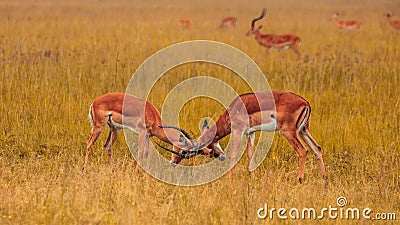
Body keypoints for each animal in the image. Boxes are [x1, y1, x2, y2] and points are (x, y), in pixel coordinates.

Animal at [164, 91, 326, 183]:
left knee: (303, 151)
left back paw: (299, 180)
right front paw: (253, 178)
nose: (173, 163)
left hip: (289, 132)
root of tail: (305, 103)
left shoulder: (238, 131)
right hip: (303, 130)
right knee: (317, 149)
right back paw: (324, 180)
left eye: (185, 152)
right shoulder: (250, 133)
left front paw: (229, 180)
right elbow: (250, 154)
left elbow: (234, 154)